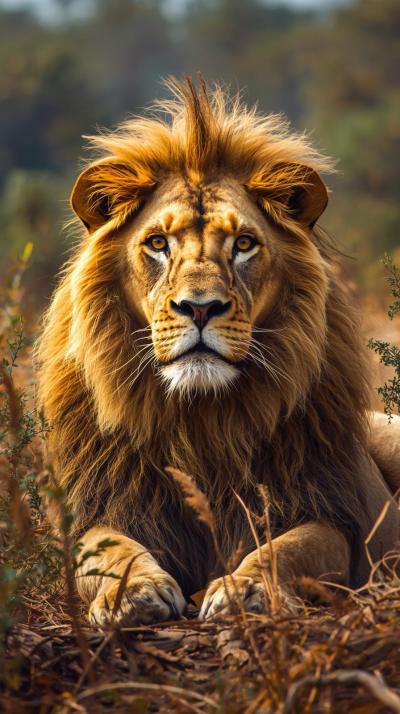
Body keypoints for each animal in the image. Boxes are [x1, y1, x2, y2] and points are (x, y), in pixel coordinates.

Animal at [37, 78, 400, 624]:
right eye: (158, 243)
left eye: (244, 244)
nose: (200, 307)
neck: (200, 422)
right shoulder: (101, 507)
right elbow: (108, 551)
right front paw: (134, 592)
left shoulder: (330, 514)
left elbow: (286, 548)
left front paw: (244, 589)